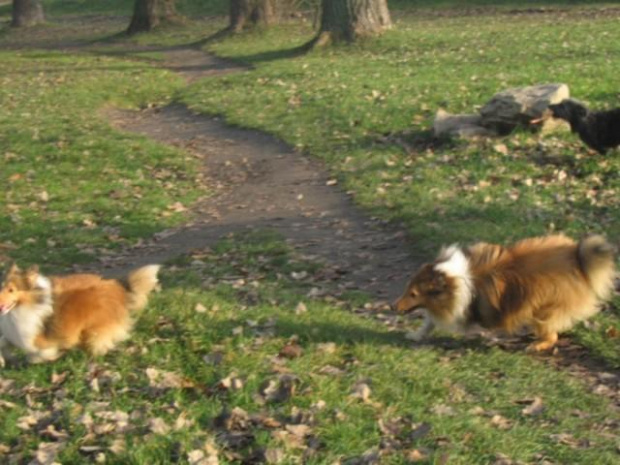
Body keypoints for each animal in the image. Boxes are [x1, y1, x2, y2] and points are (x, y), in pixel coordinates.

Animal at [0, 260, 160, 366]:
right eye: (2, 287)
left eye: (11, 290)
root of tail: (119, 287)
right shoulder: (12, 334)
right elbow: (3, 343)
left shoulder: (35, 338)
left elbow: (40, 353)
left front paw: (39, 359)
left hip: (94, 325)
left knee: (98, 343)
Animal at [394, 236, 616, 352]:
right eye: (408, 289)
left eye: (413, 294)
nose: (394, 306)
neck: (454, 279)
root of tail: (579, 260)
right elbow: (428, 322)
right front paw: (415, 335)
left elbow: (435, 319)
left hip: (544, 307)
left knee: (552, 335)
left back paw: (535, 345)